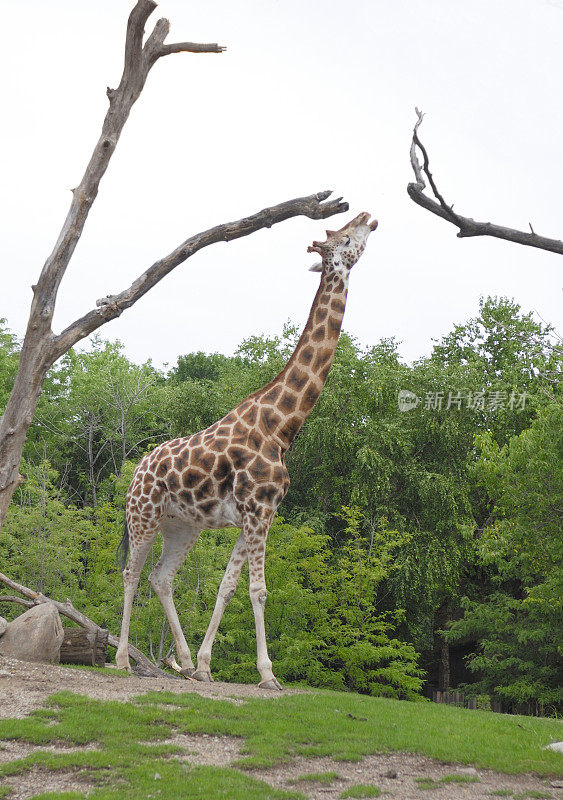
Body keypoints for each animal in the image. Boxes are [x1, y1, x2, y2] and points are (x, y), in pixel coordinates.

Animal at [114, 211, 378, 688]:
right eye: (347, 238)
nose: (369, 216)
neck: (282, 427)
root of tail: (137, 470)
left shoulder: (256, 515)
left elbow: (227, 587)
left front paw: (204, 665)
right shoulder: (258, 512)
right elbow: (258, 590)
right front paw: (268, 674)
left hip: (182, 525)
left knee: (161, 578)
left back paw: (182, 662)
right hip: (143, 515)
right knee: (132, 573)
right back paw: (124, 659)